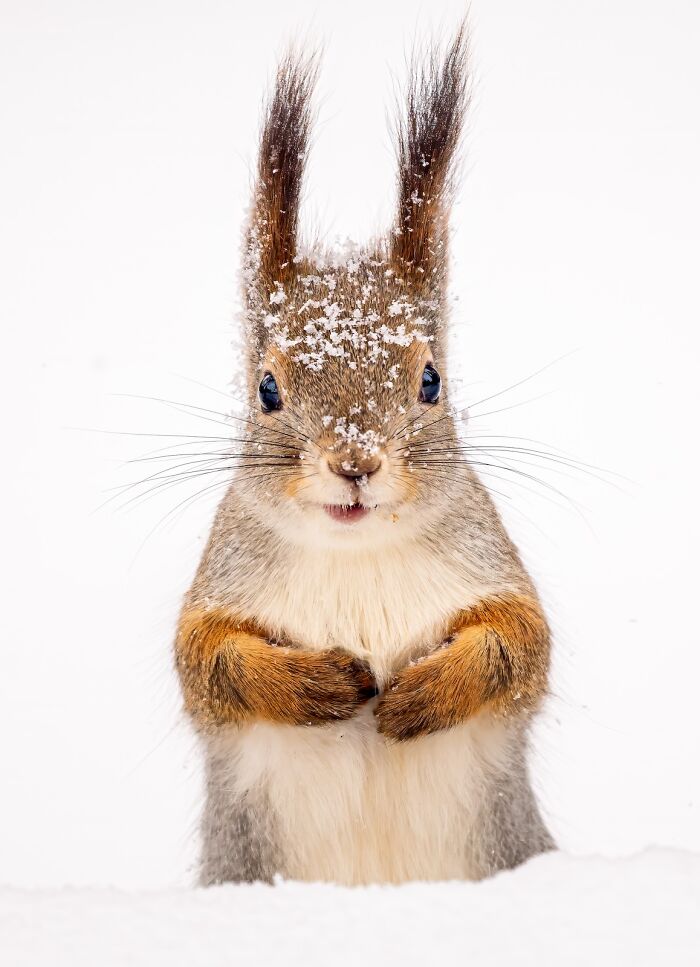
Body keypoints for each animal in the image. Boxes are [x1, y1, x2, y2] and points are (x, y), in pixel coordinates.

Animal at [175, 25, 554, 885]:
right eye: (267, 388)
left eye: (431, 380)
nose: (355, 464)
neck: (356, 555)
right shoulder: (220, 580)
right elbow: (208, 661)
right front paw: (314, 684)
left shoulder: (493, 563)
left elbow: (520, 646)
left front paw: (424, 692)